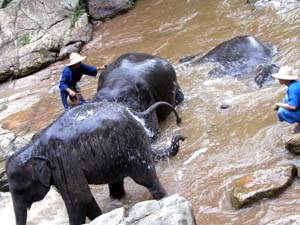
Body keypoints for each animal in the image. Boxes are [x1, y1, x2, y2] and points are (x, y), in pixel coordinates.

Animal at [5, 100, 185, 225]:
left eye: (20, 191)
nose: (181, 137)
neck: (33, 148)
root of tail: (134, 114)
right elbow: (86, 198)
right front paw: (99, 217)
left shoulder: (65, 164)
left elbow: (78, 199)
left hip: (132, 147)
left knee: (146, 179)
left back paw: (163, 198)